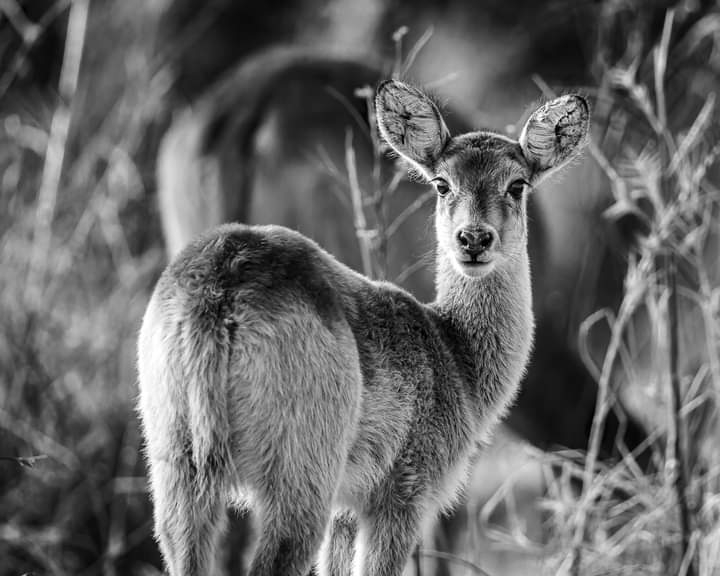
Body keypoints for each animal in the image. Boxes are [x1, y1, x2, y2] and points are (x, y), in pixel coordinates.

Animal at [137, 80, 590, 575]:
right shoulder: (403, 494)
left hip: (178, 472)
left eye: (517, 183)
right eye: (442, 183)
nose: (473, 239)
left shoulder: (346, 511)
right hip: (300, 479)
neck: (455, 354)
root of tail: (223, 284)